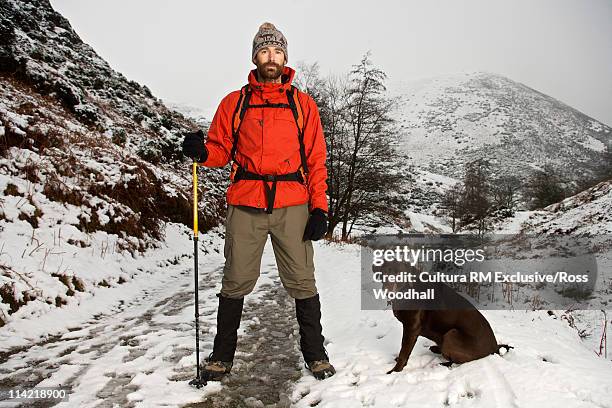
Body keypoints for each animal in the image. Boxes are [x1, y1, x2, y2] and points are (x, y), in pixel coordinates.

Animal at [378, 262, 512, 372]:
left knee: (457, 360)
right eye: (384, 273)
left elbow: (403, 352)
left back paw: (442, 363)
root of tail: (494, 347)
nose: (387, 289)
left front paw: (395, 371)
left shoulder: (412, 327)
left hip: (452, 334)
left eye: (399, 274)